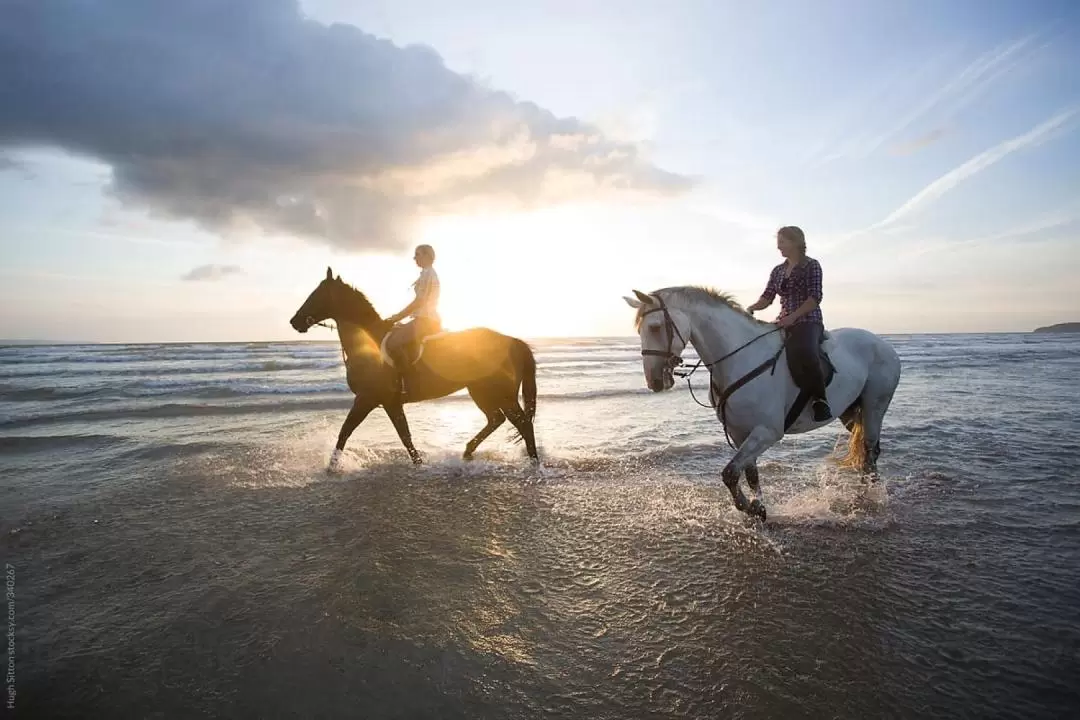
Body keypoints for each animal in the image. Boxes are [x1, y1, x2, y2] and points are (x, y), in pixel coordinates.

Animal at [291, 268, 540, 468]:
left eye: (316, 295)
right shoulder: (386, 402)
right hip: (480, 391)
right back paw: (468, 451)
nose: (295, 322)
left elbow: (348, 432)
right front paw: (419, 464)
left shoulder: (368, 399)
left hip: (501, 394)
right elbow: (402, 436)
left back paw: (534, 463)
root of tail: (512, 341)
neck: (369, 344)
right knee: (496, 419)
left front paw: (332, 467)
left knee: (522, 424)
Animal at [626, 284, 902, 518]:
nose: (654, 382)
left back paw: (869, 495)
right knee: (865, 452)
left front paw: (747, 506)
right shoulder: (741, 434)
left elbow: (729, 473)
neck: (739, 358)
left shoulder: (767, 432)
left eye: (654, 327)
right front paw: (757, 507)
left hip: (874, 405)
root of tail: (884, 344)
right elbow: (749, 473)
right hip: (850, 411)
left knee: (870, 450)